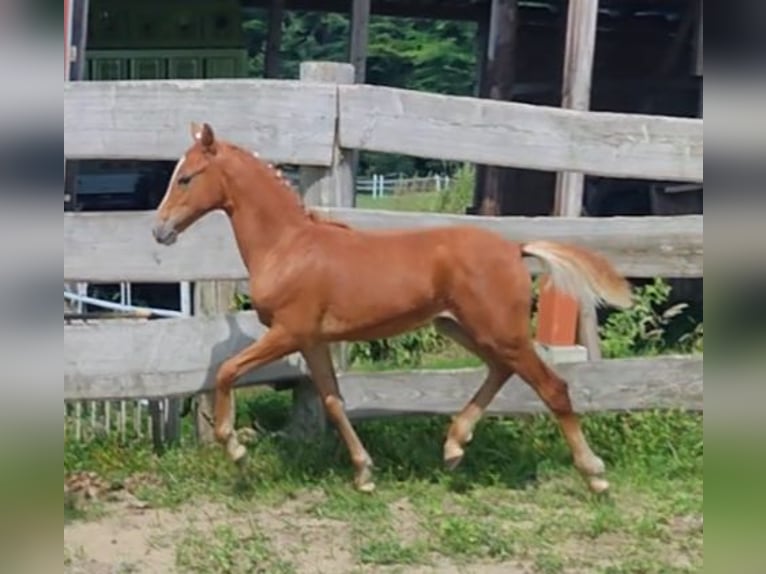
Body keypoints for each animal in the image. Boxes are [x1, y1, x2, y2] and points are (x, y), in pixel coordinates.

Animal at [153, 121, 632, 496]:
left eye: (186, 178)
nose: (159, 231)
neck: (288, 247)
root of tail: (515, 249)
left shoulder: (288, 332)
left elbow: (227, 370)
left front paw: (235, 448)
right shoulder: (312, 340)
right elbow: (333, 400)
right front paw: (364, 473)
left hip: (501, 330)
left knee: (553, 387)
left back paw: (595, 475)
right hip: (462, 328)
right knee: (500, 370)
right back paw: (454, 447)